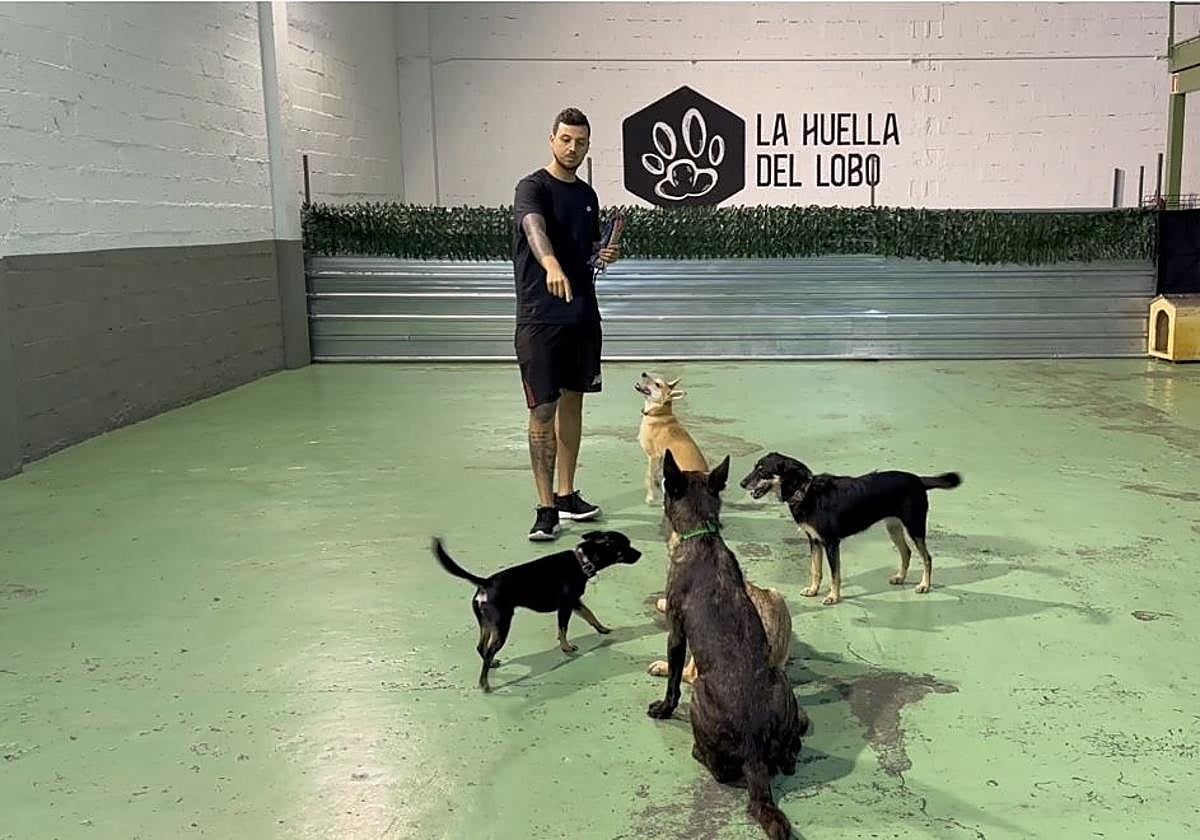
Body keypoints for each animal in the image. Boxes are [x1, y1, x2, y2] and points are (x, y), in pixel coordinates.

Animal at [432, 531, 642, 691]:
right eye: (626, 546)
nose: (640, 553)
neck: (582, 560)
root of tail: (485, 583)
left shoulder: (575, 603)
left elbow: (590, 615)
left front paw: (602, 629)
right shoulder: (566, 606)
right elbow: (563, 629)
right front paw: (566, 647)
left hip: (487, 624)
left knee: (481, 647)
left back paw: (490, 664)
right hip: (502, 626)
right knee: (489, 649)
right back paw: (485, 683)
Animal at [635, 372, 707, 506]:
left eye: (657, 384)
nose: (644, 373)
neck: (657, 413)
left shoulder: (653, 456)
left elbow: (649, 476)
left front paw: (650, 497)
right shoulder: (660, 458)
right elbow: (654, 476)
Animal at [648, 449, 808, 840]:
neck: (702, 535)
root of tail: (753, 749)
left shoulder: (676, 632)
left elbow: (673, 678)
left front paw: (662, 708)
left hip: (699, 697)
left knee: (719, 769)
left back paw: (697, 753)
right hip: (782, 684)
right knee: (791, 754)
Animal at [740, 452, 962, 605]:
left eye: (762, 471)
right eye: (755, 467)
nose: (741, 483)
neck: (806, 492)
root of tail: (918, 480)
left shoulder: (830, 543)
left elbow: (834, 574)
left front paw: (833, 597)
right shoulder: (814, 541)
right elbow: (815, 570)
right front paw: (813, 590)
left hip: (914, 527)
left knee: (927, 557)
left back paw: (924, 585)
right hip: (893, 527)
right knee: (906, 552)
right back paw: (900, 577)